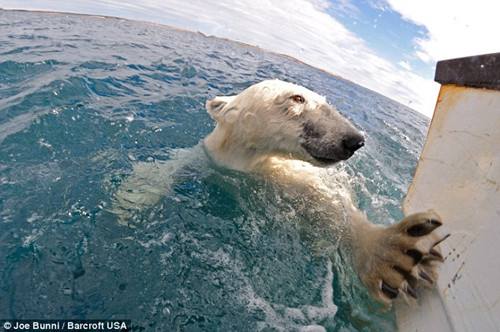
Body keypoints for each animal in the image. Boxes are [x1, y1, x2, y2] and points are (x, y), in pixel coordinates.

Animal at [113, 79, 450, 304]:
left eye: (325, 101)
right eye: (297, 97)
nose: (354, 139)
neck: (247, 162)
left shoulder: (292, 178)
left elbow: (331, 208)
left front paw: (390, 253)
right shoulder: (209, 157)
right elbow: (170, 167)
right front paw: (129, 201)